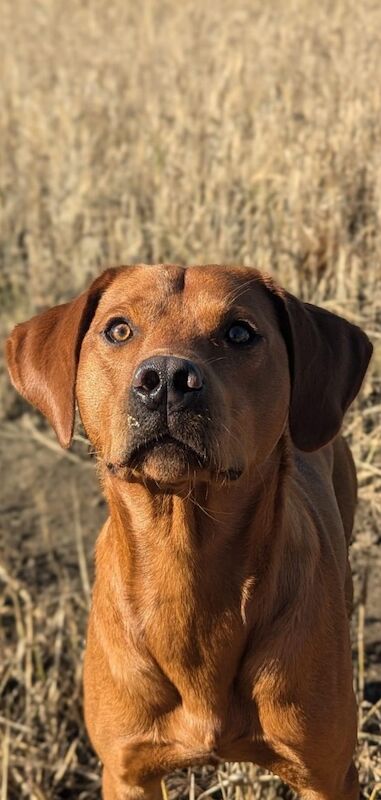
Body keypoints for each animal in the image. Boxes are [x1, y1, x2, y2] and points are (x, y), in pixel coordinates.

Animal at [5, 266, 372, 796]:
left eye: (239, 332)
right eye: (118, 329)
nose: (165, 380)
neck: (186, 563)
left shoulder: (327, 776)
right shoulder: (127, 772)